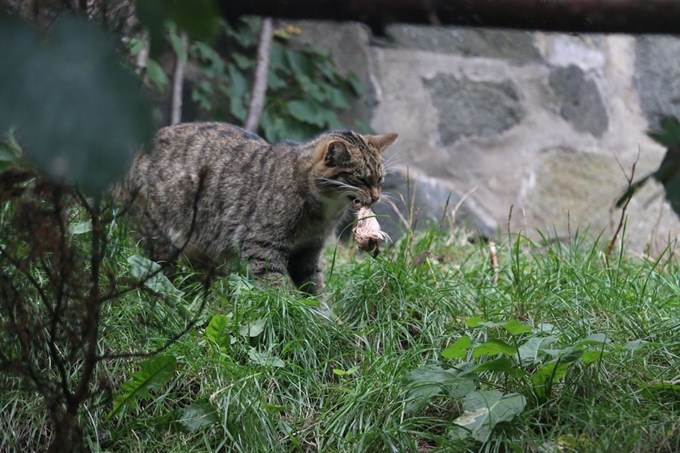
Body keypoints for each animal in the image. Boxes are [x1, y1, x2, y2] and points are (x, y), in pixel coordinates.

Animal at [115, 122, 394, 294]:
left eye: (380, 179)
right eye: (361, 179)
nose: (376, 197)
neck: (324, 211)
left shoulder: (308, 252)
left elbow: (315, 288)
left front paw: (325, 322)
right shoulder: (261, 244)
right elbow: (275, 286)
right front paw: (289, 313)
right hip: (158, 236)